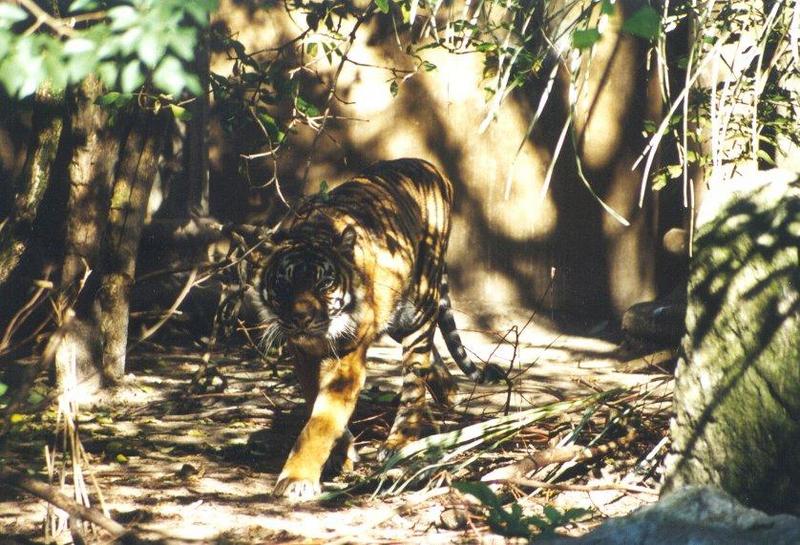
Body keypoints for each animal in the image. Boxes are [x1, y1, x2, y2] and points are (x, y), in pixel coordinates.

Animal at [253, 158, 496, 502]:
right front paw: (341, 455)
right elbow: (317, 403)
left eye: (324, 284)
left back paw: (400, 442)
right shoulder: (303, 354)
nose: (301, 318)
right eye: (285, 283)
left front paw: (297, 478)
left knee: (414, 382)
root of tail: (432, 167)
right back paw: (448, 393)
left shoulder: (348, 357)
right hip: (396, 314)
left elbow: (321, 421)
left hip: (419, 306)